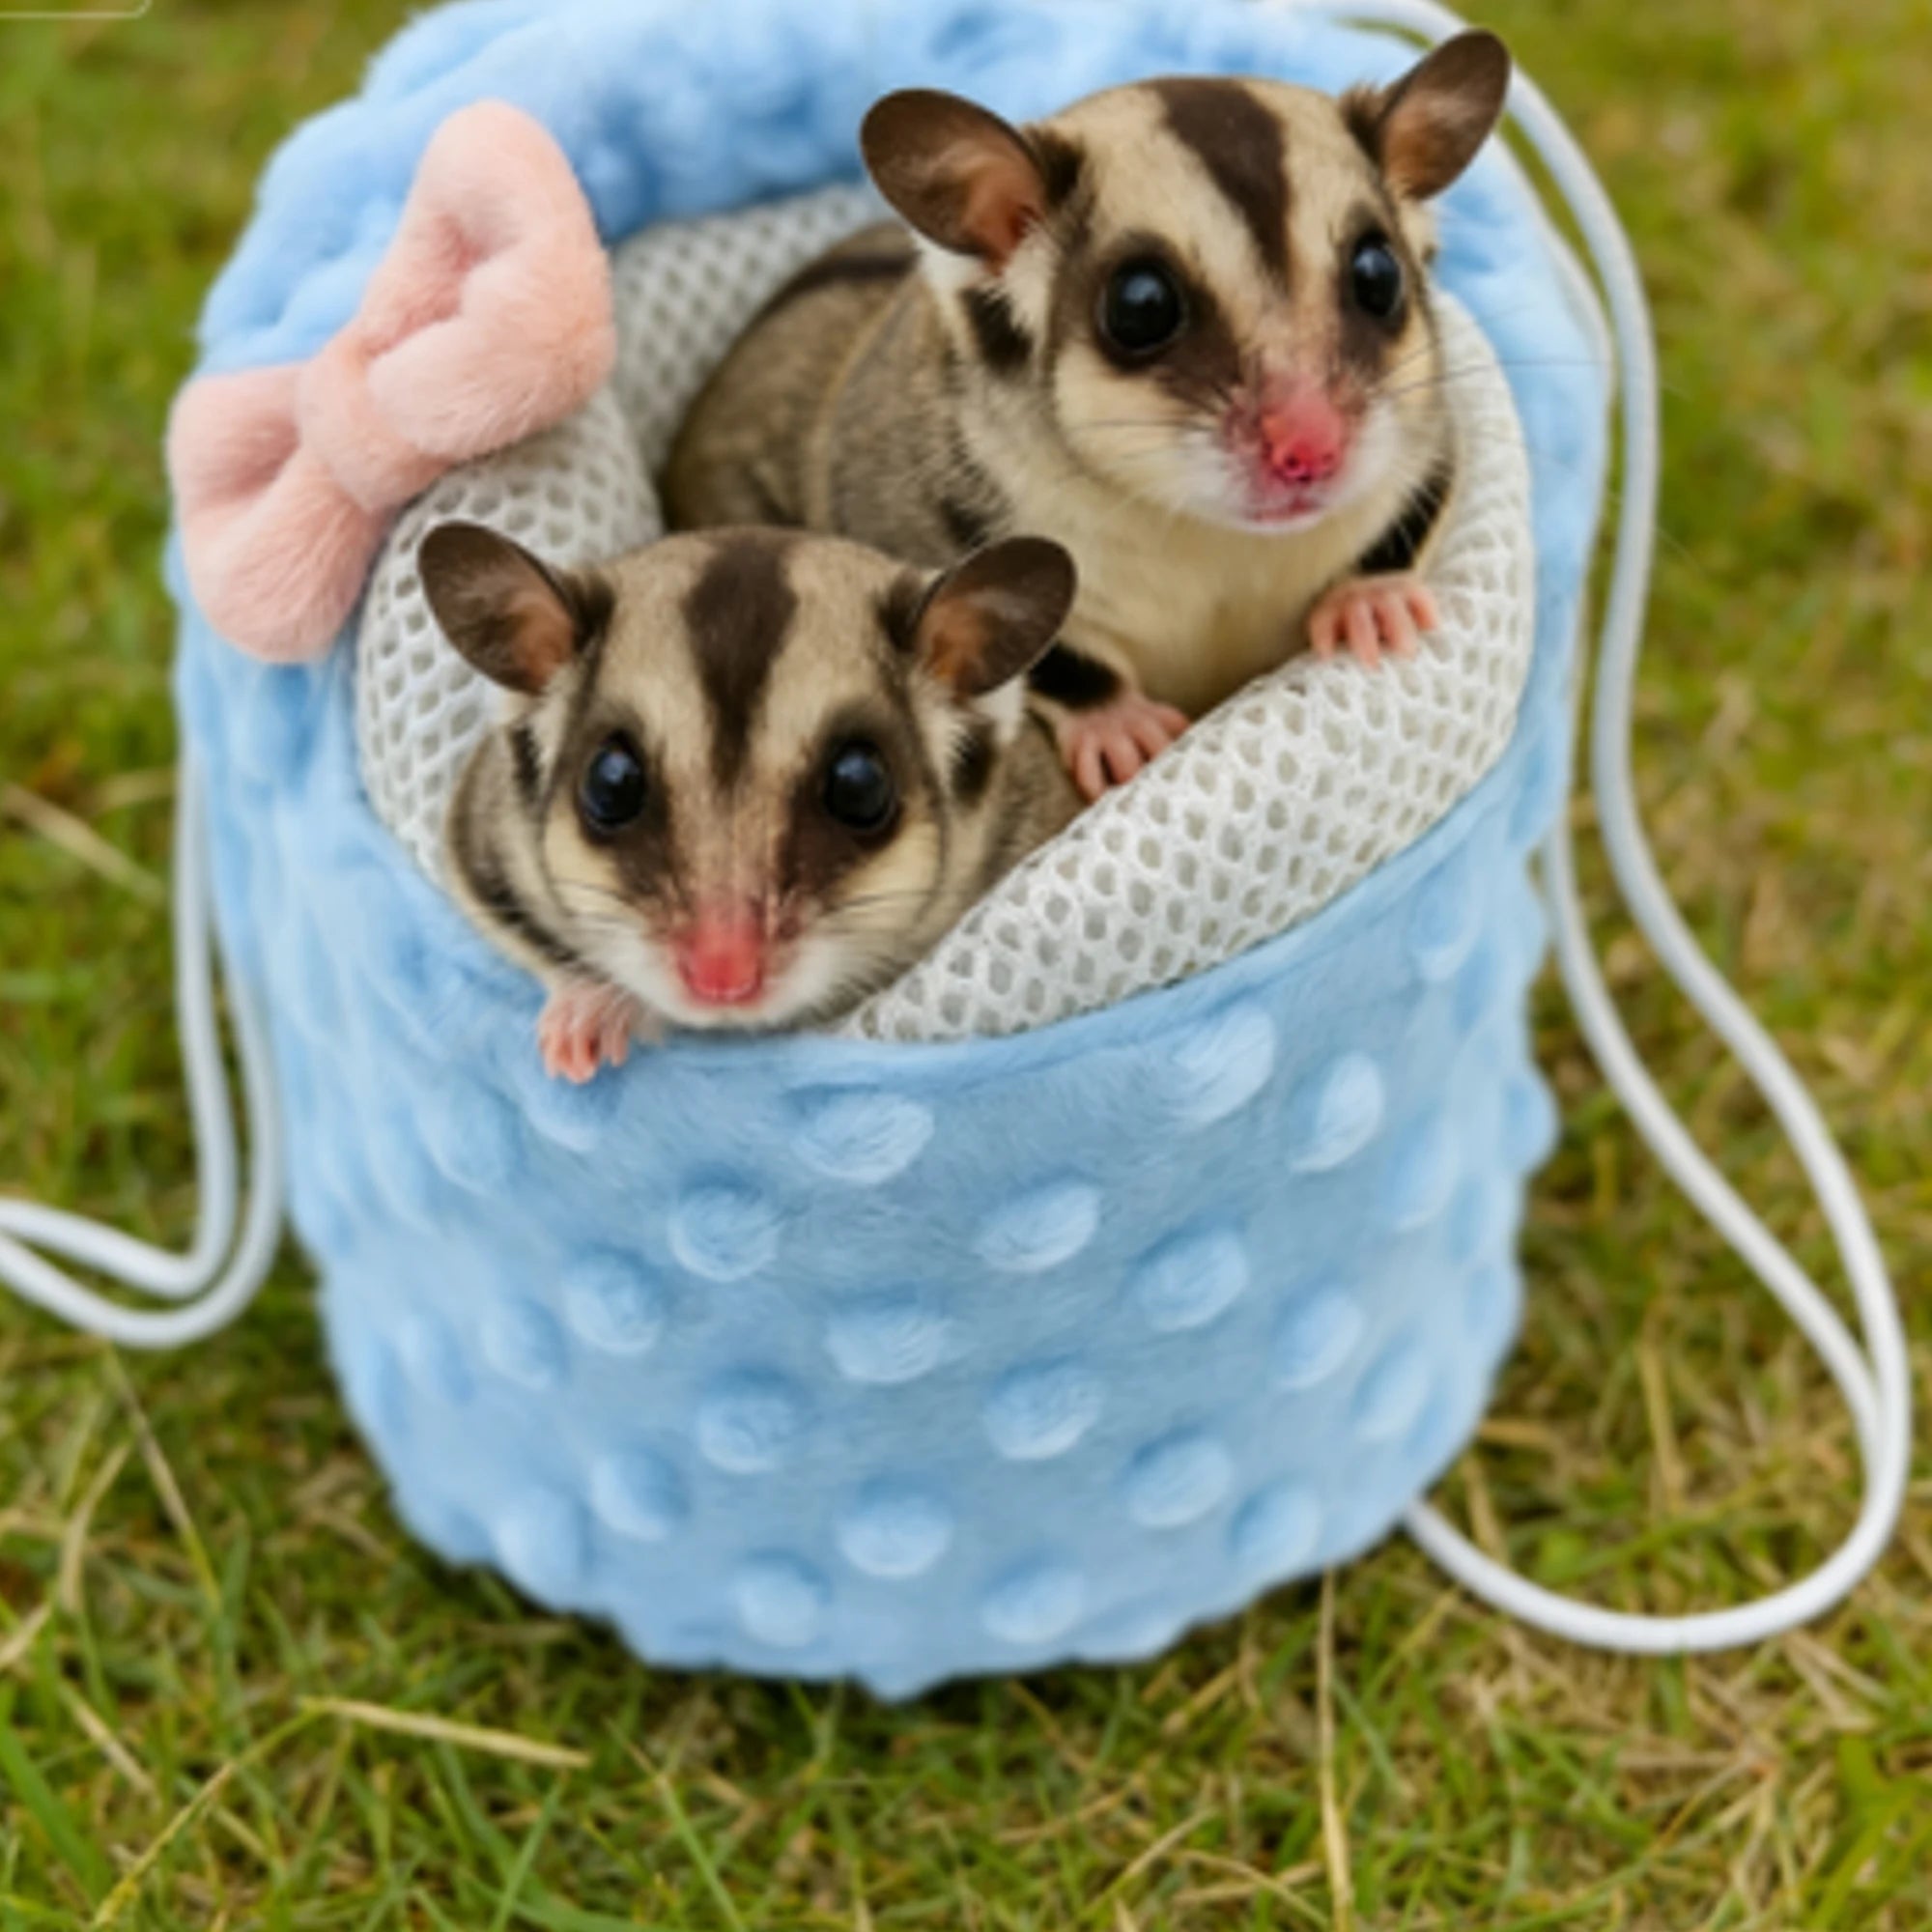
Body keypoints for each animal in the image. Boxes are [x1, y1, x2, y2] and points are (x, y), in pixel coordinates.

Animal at [664, 31, 1511, 801]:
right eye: (1141, 307)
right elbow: (1013, 641)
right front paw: (1118, 725)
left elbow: (1425, 490)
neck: (1207, 534)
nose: (1310, 447)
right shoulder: (909, 506)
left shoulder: (1425, 435)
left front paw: (1374, 601)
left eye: (1378, 275)